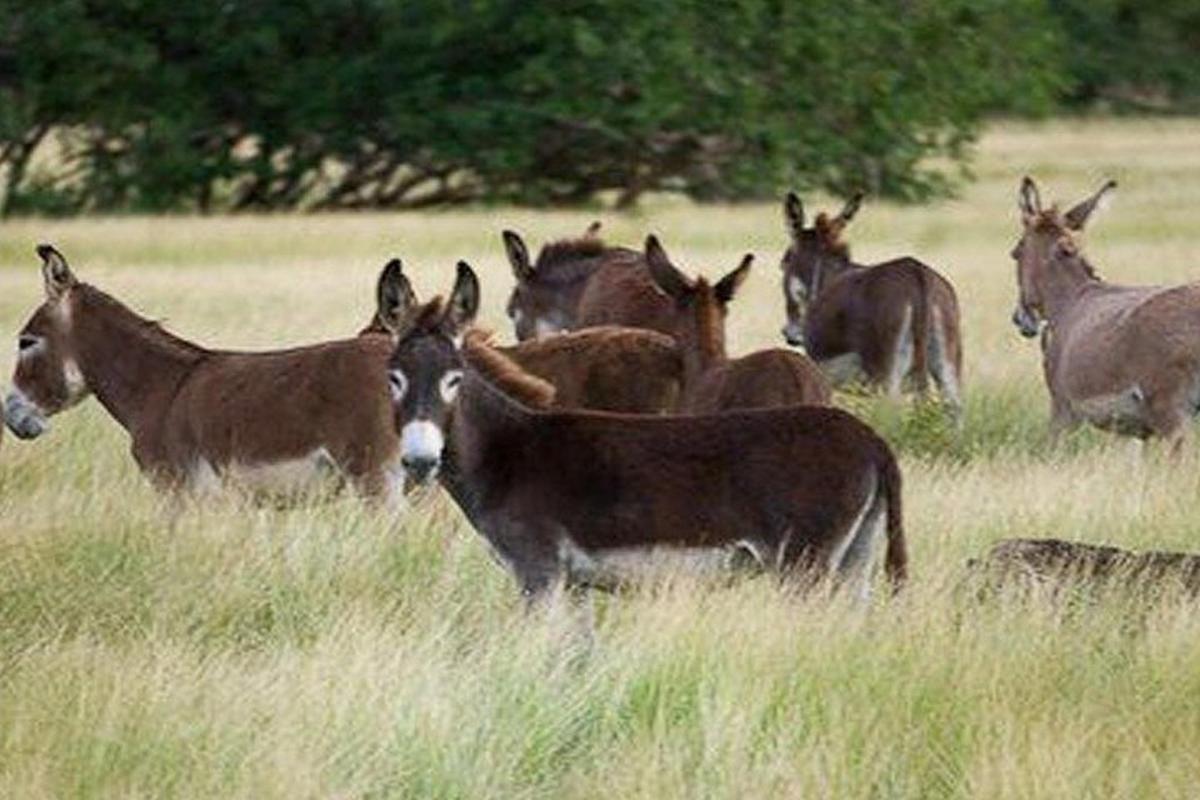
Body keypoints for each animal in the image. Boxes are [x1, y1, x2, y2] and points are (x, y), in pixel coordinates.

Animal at [375, 284, 908, 602]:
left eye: (454, 379)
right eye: (393, 377)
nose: (419, 463)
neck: (509, 450)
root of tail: (871, 440)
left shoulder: (538, 574)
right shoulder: (574, 585)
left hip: (805, 568)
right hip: (854, 561)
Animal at [780, 192, 963, 417]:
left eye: (784, 263)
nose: (789, 334)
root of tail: (917, 275)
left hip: (885, 376)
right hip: (948, 369)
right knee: (954, 409)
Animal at [1012, 177, 1200, 450]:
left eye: (1015, 253)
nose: (1020, 320)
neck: (1070, 300)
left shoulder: (1062, 409)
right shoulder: (1139, 434)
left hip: (1171, 414)